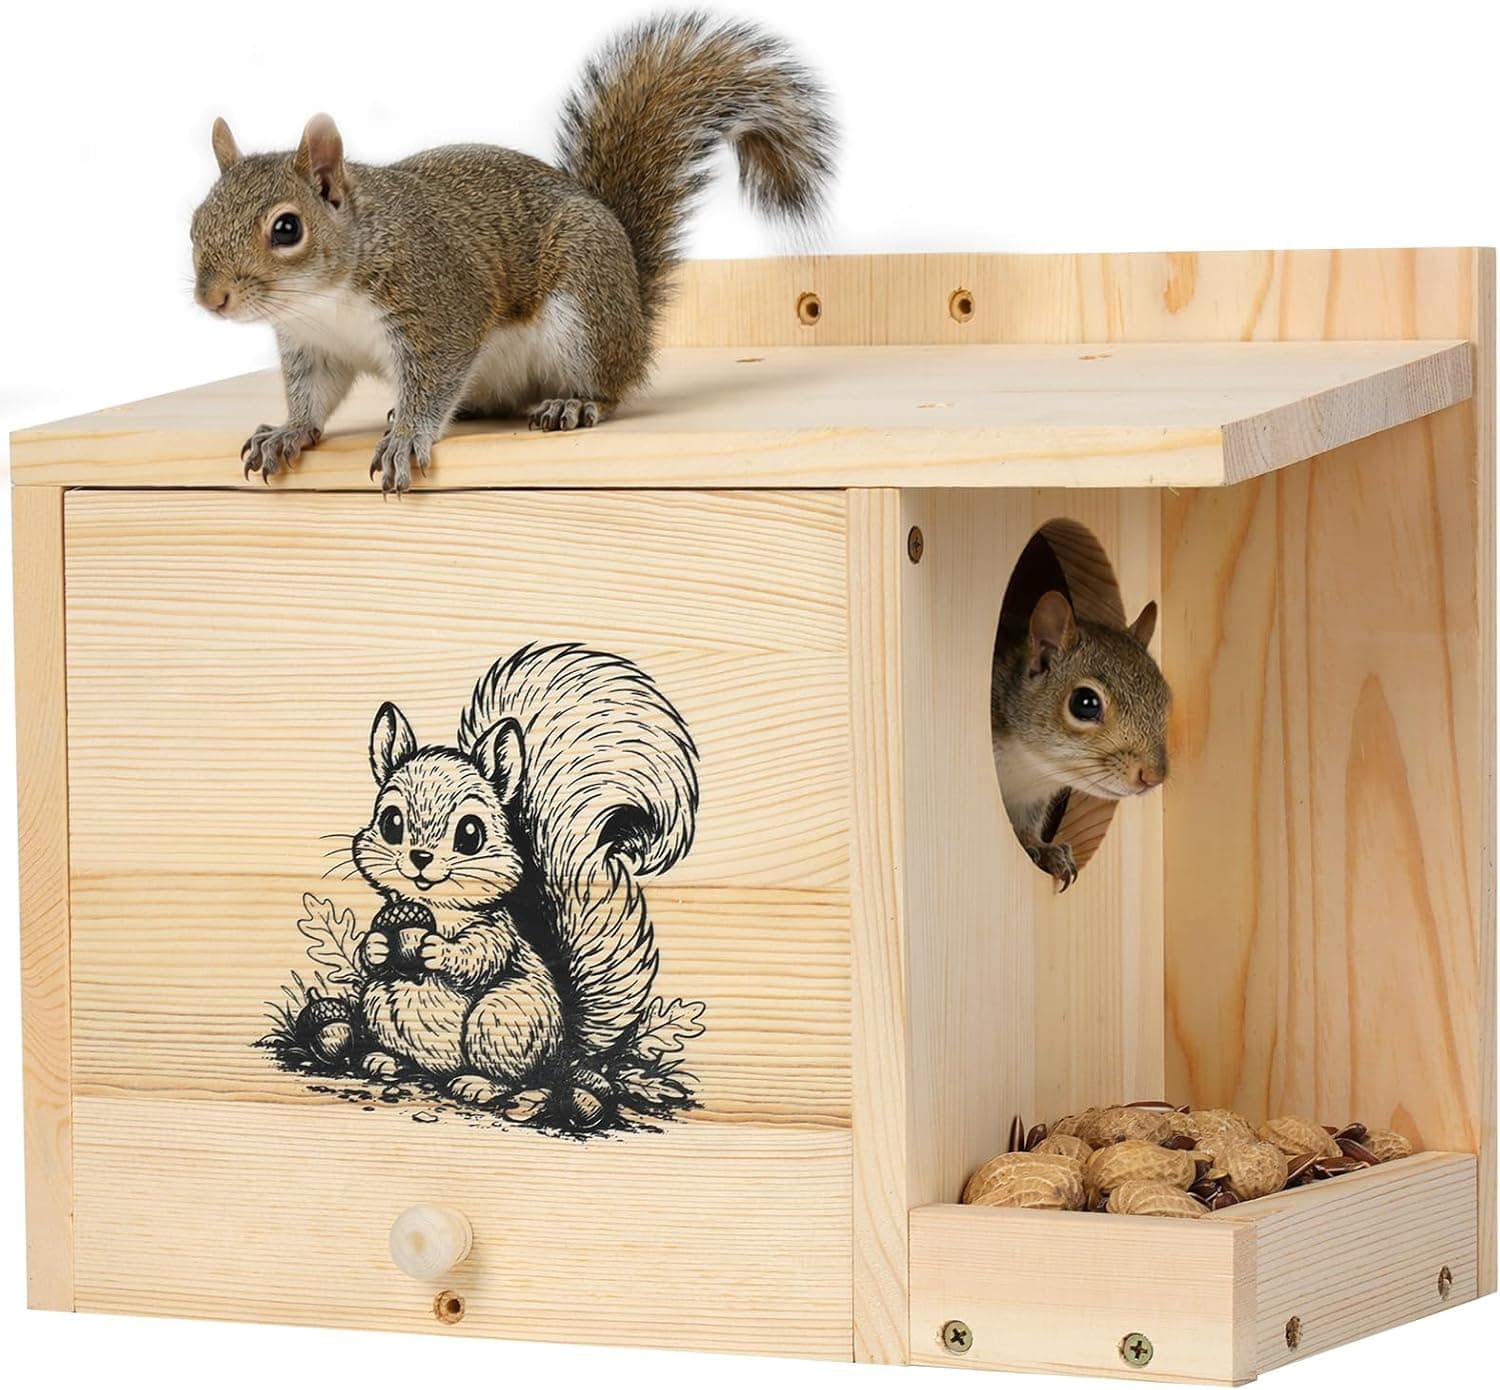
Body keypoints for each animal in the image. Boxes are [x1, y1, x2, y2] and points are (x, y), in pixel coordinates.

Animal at [189, 12, 837, 492]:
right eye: (195, 221)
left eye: (287, 229)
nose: (211, 299)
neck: (323, 299)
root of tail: (632, 305)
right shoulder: (315, 348)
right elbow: (314, 398)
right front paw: (289, 431)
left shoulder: (438, 305)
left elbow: (435, 374)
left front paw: (407, 437)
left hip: (584, 312)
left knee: (611, 387)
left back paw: (572, 405)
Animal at [301, 644, 698, 1128]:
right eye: (391, 822)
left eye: (470, 833)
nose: (419, 859)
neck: (435, 909)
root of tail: (562, 1052)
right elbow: (374, 948)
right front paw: (377, 947)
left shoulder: (498, 931)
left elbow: (479, 954)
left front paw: (437, 950)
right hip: (380, 1004)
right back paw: (386, 1060)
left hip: (503, 1018)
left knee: (511, 1076)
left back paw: (479, 1084)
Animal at [990, 590, 1170, 891]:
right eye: (1085, 703)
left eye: (1166, 699)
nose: (1154, 776)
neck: (1028, 766)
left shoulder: (1031, 800)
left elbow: (1027, 827)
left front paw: (1046, 850)